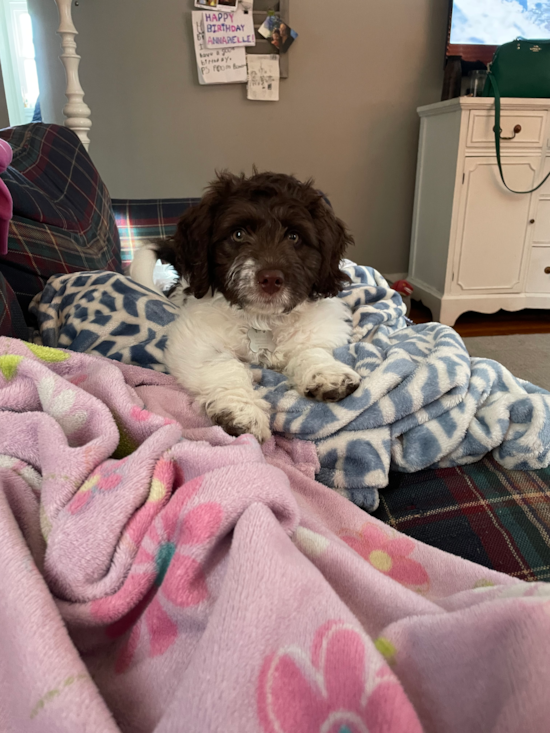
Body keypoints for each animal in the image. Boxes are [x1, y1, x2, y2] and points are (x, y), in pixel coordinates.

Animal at [133, 173, 362, 440]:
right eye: (238, 234)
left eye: (294, 236)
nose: (271, 279)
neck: (263, 321)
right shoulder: (194, 340)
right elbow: (223, 365)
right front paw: (240, 411)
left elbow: (310, 349)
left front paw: (327, 373)